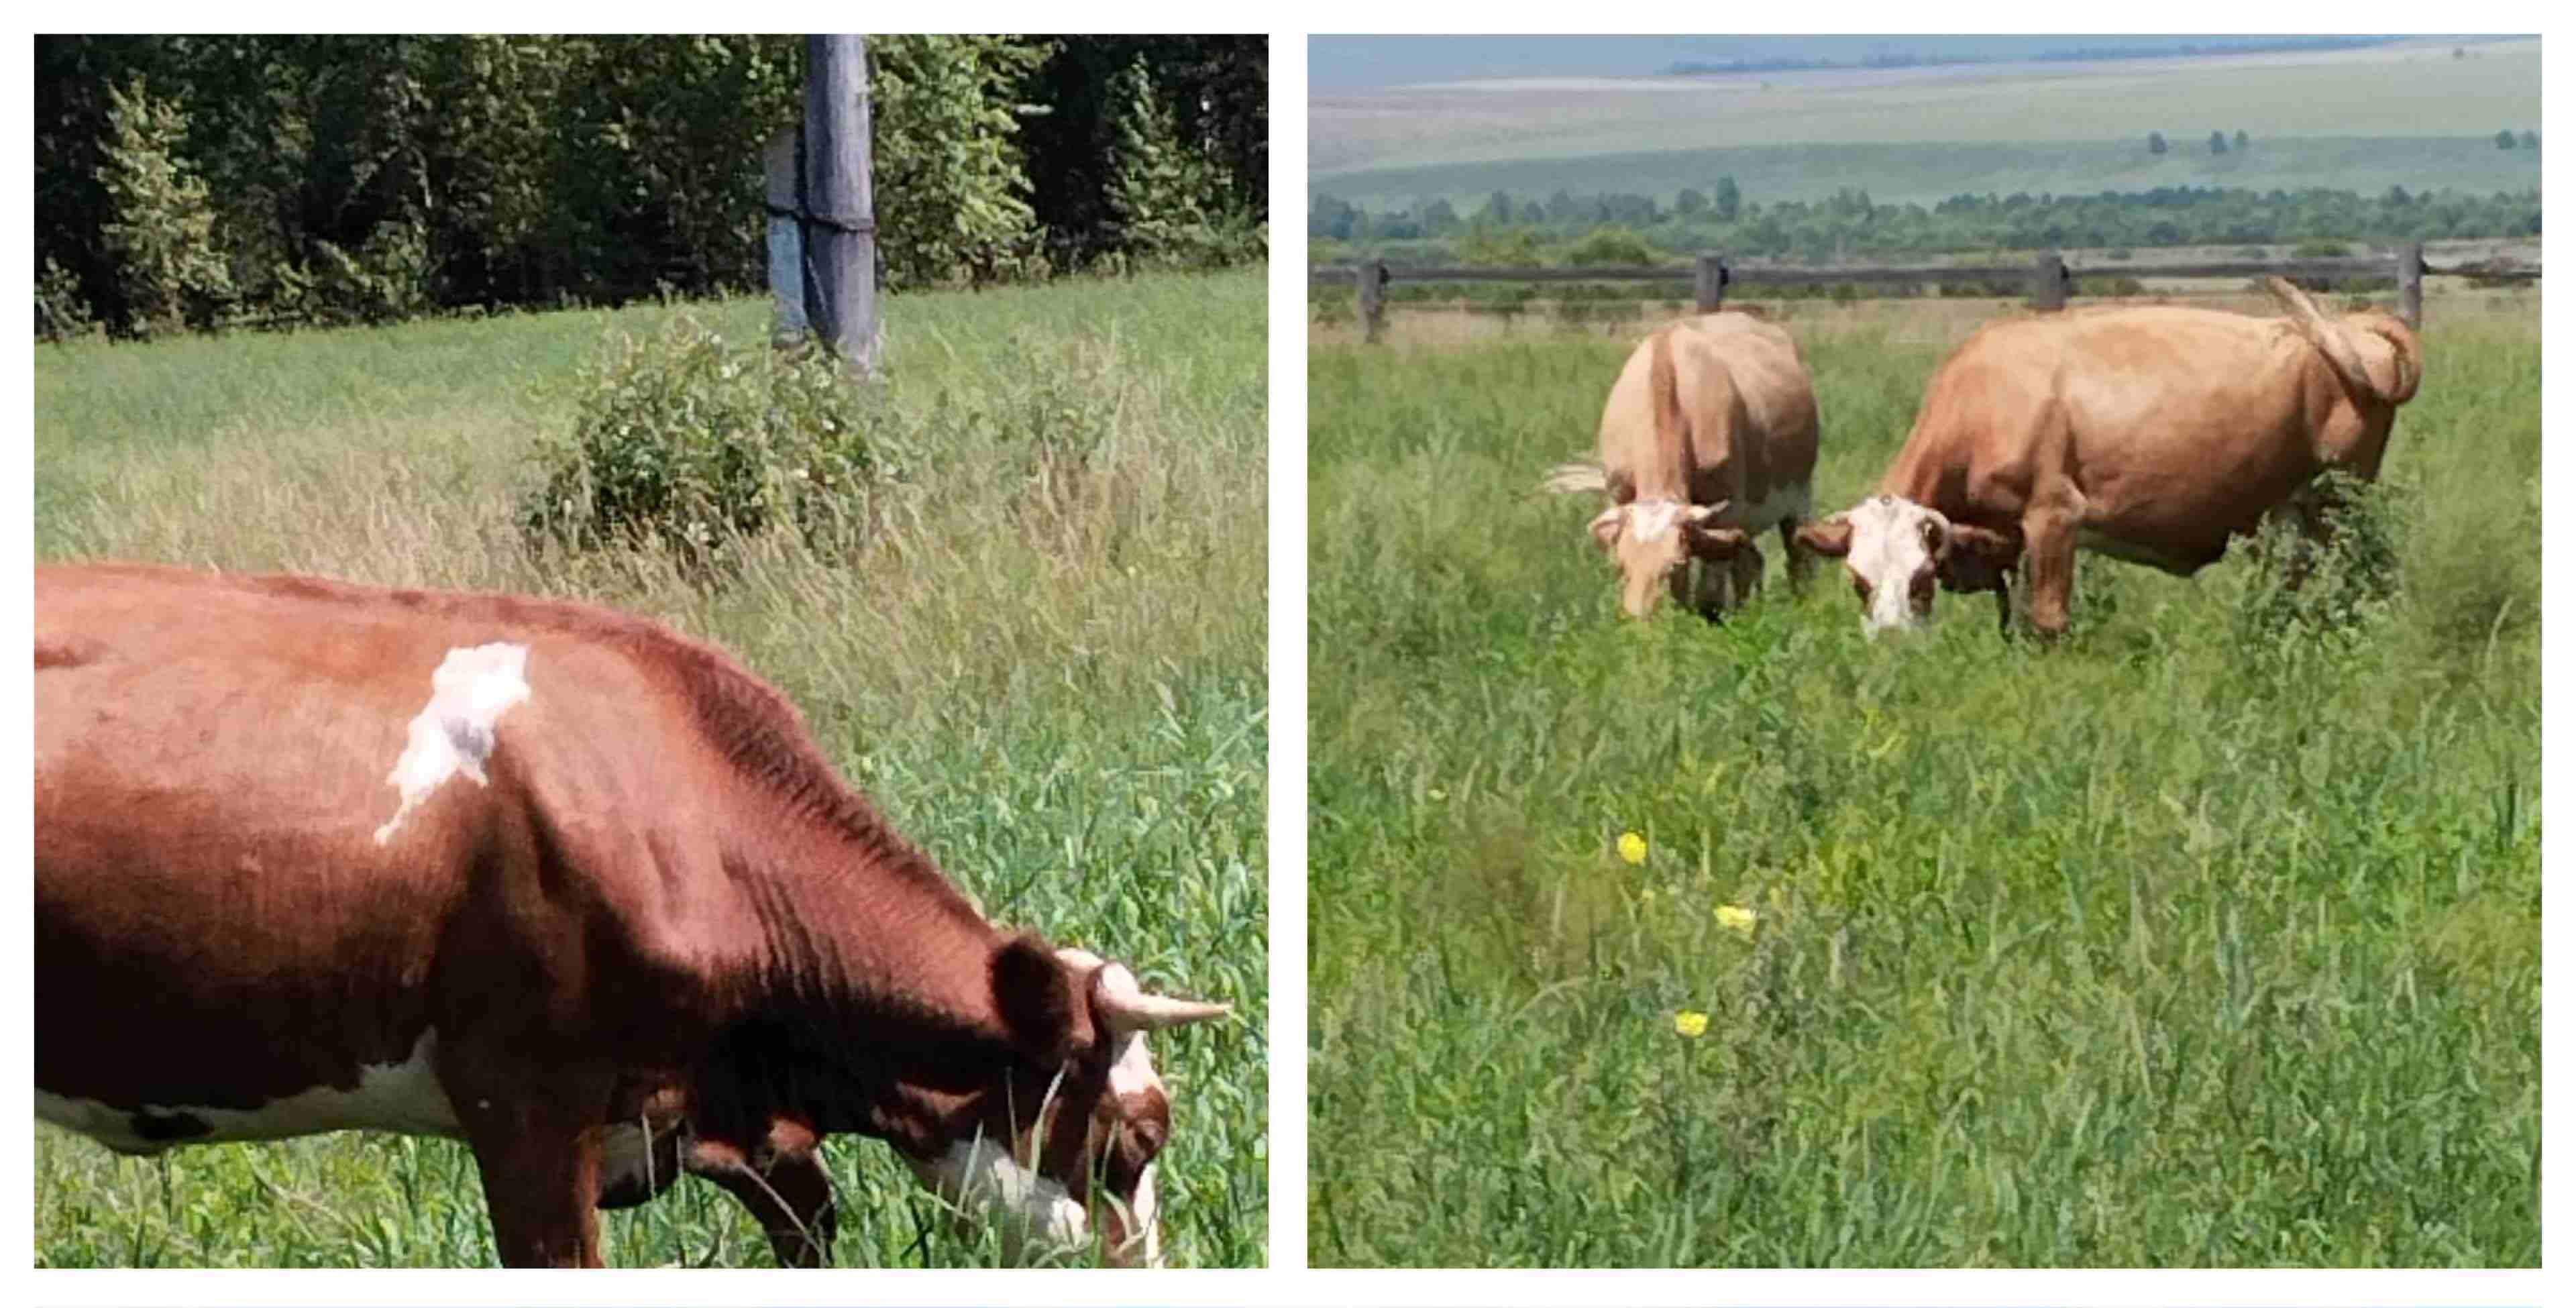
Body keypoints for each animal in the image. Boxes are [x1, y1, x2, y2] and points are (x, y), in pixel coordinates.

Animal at [1535, 317, 1823, 622]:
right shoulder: (1618, 497)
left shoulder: (1725, 512)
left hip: (1801, 496)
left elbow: (1711, 590)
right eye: (1622, 566)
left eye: (1675, 565)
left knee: (1799, 560)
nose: (1640, 622)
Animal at [1803, 279, 2421, 638]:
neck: (1982, 400)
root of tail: (2358, 327)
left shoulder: (2054, 519)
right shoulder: (2009, 542)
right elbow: (2014, 619)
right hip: (2289, 514)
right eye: (1858, 582)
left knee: (2372, 577)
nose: (1892, 642)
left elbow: (2047, 621)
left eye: (1921, 579)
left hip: (2340, 504)